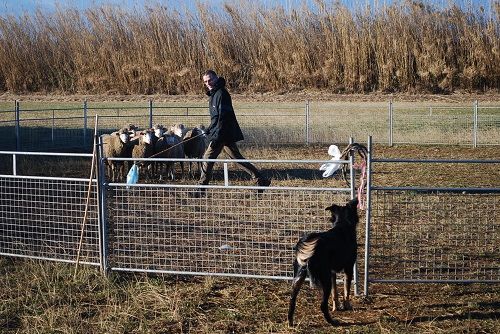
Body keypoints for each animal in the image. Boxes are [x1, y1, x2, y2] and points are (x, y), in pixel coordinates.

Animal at [290, 198, 360, 326]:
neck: (342, 224)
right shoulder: (348, 268)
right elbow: (346, 291)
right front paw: (347, 306)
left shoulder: (332, 272)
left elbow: (335, 293)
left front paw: (336, 307)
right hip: (325, 279)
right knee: (322, 305)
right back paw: (332, 322)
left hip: (300, 276)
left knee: (292, 300)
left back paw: (290, 323)